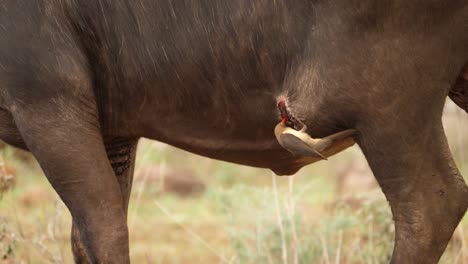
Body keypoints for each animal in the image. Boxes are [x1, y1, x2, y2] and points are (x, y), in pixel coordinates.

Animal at [0, 0, 466, 262]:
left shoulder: (49, 105)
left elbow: (104, 231)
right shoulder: (114, 134)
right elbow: (88, 238)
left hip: (389, 109)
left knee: (430, 207)